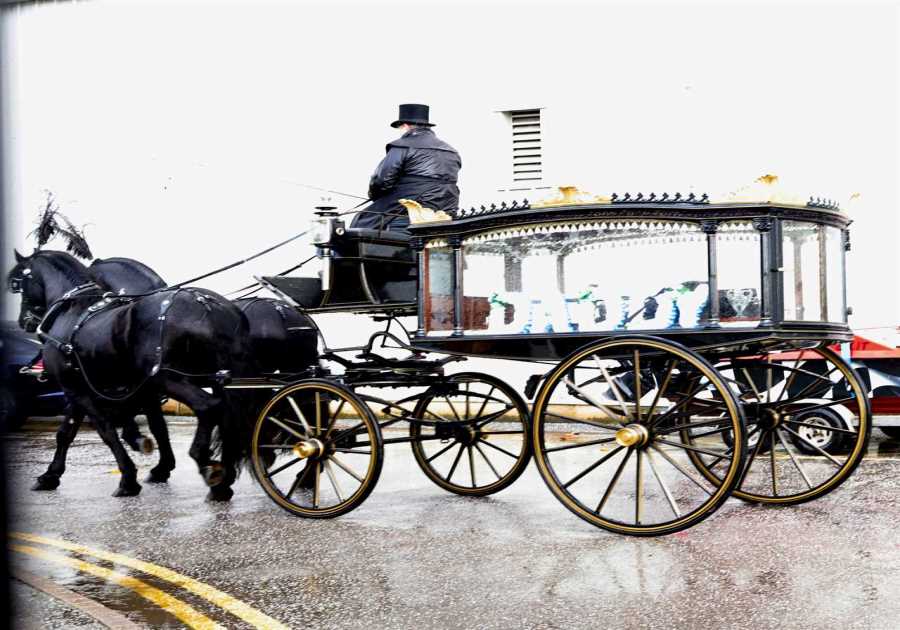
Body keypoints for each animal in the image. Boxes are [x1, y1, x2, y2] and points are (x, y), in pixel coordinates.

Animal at [9, 249, 256, 502]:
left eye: (17, 284)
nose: (25, 322)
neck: (74, 312)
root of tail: (209, 307)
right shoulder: (98, 390)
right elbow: (69, 433)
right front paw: (50, 476)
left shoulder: (78, 390)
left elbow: (105, 430)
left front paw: (128, 478)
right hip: (222, 380)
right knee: (227, 417)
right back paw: (223, 481)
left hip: (169, 378)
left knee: (208, 407)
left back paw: (205, 463)